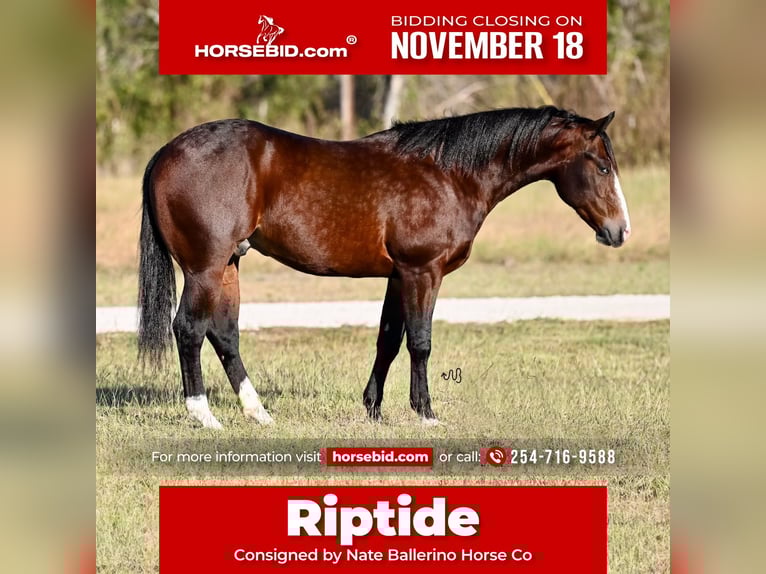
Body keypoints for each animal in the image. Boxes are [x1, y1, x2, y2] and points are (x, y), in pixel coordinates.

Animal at [137, 106, 630, 429]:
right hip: (204, 268)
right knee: (189, 328)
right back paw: (204, 415)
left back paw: (258, 413)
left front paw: (373, 408)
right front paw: (426, 413)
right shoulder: (422, 271)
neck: (447, 173)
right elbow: (420, 342)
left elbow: (388, 340)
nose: (620, 230)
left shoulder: (399, 275)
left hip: (229, 265)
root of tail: (165, 152)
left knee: (224, 334)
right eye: (603, 166)